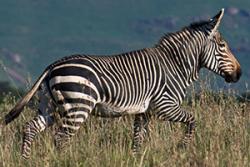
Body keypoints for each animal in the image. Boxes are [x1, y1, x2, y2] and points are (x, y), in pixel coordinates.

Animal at [0, 8, 241, 159]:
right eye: (222, 46)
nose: (239, 74)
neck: (175, 65)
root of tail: (52, 65)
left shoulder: (144, 112)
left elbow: (137, 140)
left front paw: (136, 159)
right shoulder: (165, 106)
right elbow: (192, 120)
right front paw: (183, 147)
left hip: (49, 106)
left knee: (30, 128)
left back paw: (25, 159)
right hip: (78, 106)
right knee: (61, 138)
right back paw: (64, 160)